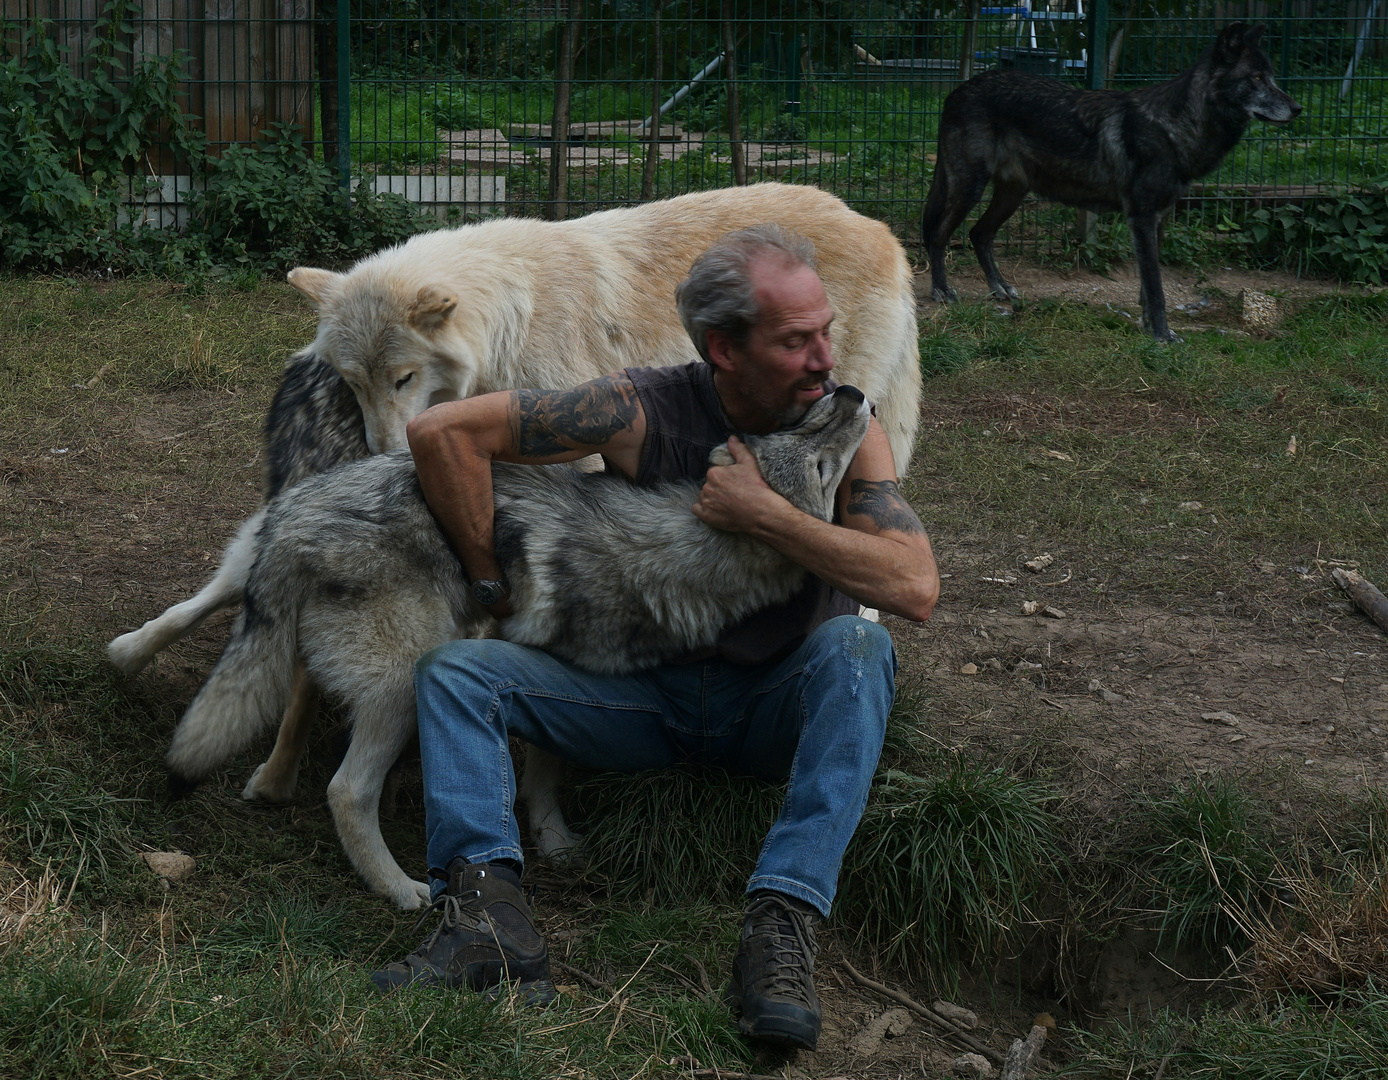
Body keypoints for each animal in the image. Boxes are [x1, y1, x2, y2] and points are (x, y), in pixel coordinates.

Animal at [162, 383, 871, 905]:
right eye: (817, 459)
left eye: (802, 432)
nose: (853, 391)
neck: (675, 548)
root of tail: (295, 519)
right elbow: (547, 770)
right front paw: (552, 835)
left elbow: (545, 766)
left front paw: (552, 840)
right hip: (403, 681)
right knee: (345, 790)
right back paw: (400, 889)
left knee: (201, 626)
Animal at [921, 23, 1299, 338]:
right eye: (1257, 77)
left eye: (1271, 77)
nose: (1297, 109)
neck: (1176, 126)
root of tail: (956, 91)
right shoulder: (1142, 217)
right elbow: (1156, 287)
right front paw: (1162, 335)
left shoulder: (1158, 219)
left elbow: (1148, 286)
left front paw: (1148, 326)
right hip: (970, 187)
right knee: (939, 235)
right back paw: (942, 291)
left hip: (1012, 194)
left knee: (979, 234)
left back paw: (1001, 289)